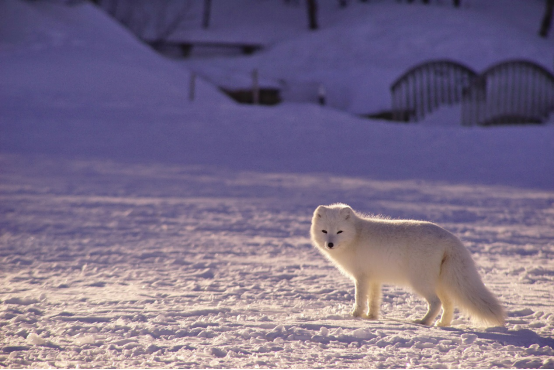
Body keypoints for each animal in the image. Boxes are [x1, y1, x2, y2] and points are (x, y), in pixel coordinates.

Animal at [310, 204, 504, 328]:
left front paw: (355, 316)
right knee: (449, 304)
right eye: (324, 231)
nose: (330, 244)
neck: (356, 235)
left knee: (436, 303)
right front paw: (371, 317)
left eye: (339, 231)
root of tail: (450, 238)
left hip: (420, 282)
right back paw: (443, 324)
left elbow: (360, 299)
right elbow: (374, 300)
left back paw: (423, 322)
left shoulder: (361, 277)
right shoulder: (374, 278)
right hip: (440, 283)